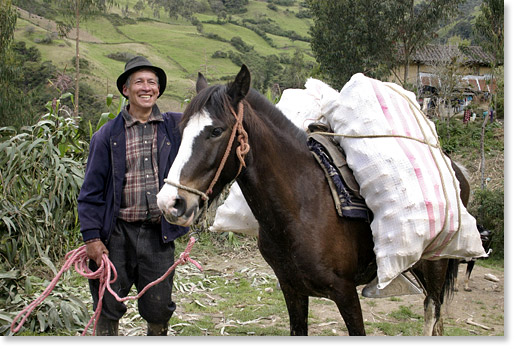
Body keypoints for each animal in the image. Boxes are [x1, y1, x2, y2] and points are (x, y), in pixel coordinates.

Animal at [155, 64, 466, 334]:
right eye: (181, 129)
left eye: (216, 130)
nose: (170, 202)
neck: (301, 207)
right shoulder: (292, 289)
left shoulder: (345, 293)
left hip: (435, 266)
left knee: (431, 312)